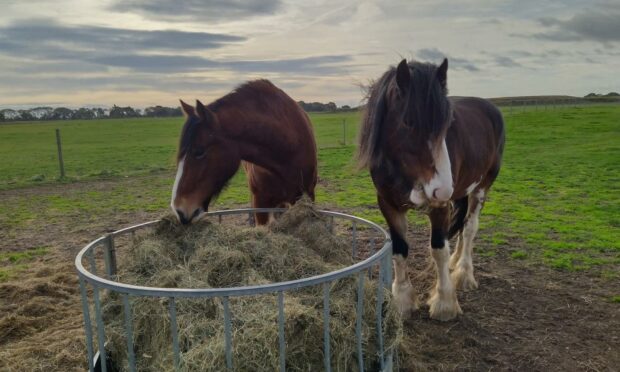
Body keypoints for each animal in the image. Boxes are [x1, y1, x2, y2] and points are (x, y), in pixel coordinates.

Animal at [358, 57, 504, 320]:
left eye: (446, 125)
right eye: (407, 122)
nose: (443, 189)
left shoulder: (440, 206)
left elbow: (438, 249)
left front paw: (444, 302)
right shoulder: (388, 204)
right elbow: (399, 248)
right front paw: (402, 300)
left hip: (482, 185)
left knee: (470, 228)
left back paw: (463, 273)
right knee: (462, 225)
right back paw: (456, 263)